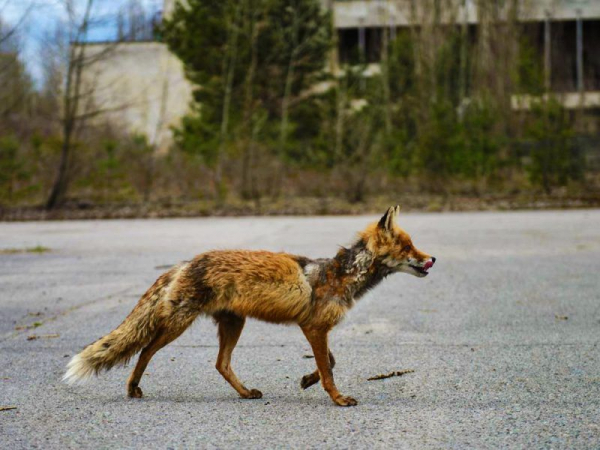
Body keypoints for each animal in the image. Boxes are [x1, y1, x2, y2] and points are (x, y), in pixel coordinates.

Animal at [64, 207, 436, 408]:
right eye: (408, 247)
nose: (432, 259)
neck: (339, 275)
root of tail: (186, 262)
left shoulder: (316, 328)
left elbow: (329, 362)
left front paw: (306, 380)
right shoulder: (314, 327)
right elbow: (329, 369)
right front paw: (337, 398)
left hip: (233, 324)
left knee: (221, 364)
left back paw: (245, 393)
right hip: (179, 325)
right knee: (145, 350)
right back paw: (132, 388)